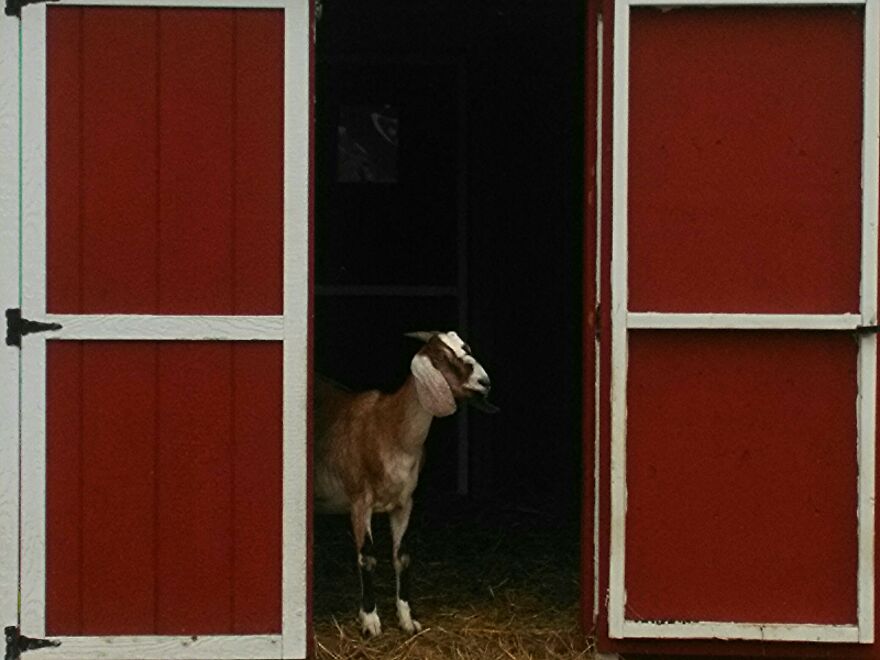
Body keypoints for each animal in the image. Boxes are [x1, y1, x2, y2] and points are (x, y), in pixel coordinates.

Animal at [314, 331, 498, 637]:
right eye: (443, 358)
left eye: (466, 348)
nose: (484, 382)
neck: (390, 428)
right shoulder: (359, 501)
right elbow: (367, 558)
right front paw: (370, 620)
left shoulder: (404, 503)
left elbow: (402, 557)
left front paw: (406, 619)